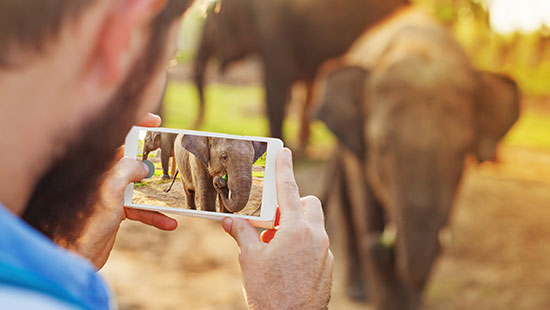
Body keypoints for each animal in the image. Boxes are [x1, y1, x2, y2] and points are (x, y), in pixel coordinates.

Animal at [194, 0, 410, 149]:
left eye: (212, 29)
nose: (197, 123)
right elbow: (308, 81)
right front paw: (302, 145)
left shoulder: (274, 28)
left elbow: (277, 83)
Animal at [320, 9, 520, 310]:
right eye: (381, 148)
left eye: (461, 153)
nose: (379, 245)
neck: (420, 47)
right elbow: (367, 210)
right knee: (348, 205)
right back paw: (358, 291)